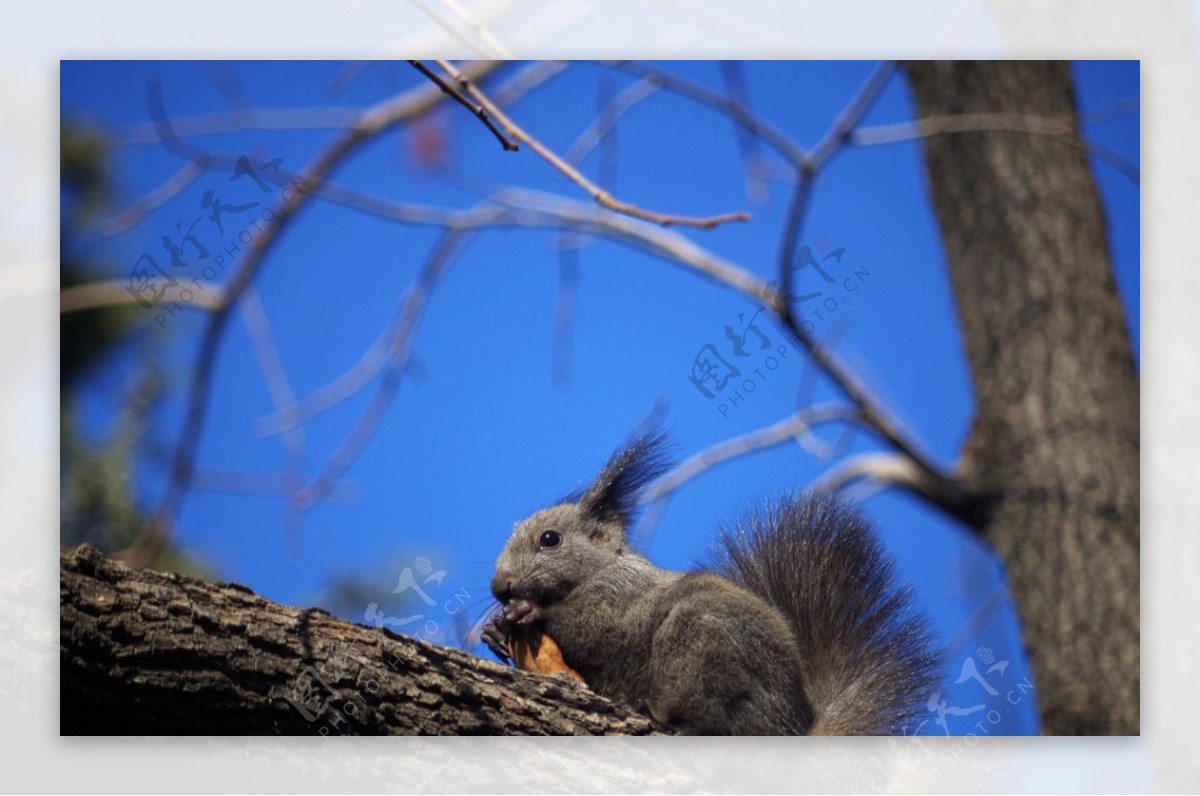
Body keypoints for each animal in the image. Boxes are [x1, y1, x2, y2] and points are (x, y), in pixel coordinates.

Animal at [477, 432, 936, 739]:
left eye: (549, 539)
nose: (499, 587)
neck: (597, 571)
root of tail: (793, 728)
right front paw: (495, 632)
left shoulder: (623, 597)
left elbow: (598, 629)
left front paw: (530, 612)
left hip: (702, 643)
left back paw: (651, 710)